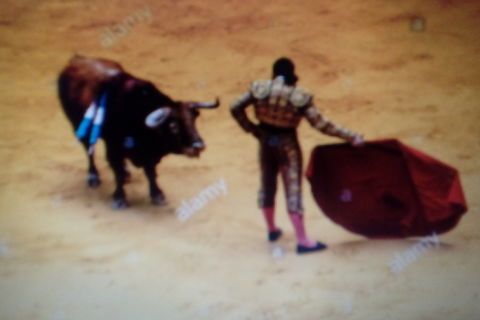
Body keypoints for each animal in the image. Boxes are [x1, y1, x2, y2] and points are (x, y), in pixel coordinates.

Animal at [57, 56, 219, 209]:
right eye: (173, 126)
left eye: (193, 120)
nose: (199, 145)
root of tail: (76, 60)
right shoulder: (113, 147)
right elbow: (117, 172)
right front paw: (120, 199)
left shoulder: (148, 154)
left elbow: (151, 172)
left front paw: (157, 195)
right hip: (77, 126)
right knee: (88, 150)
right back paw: (93, 177)